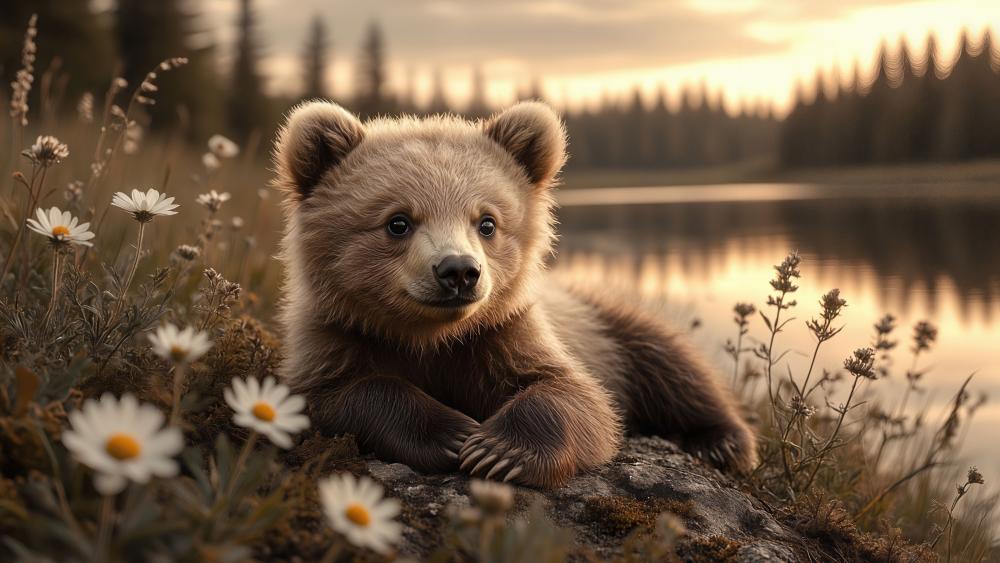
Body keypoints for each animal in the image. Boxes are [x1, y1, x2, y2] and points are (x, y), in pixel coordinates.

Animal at [272, 100, 757, 488]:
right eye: (398, 221)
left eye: (487, 221)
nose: (459, 271)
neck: (430, 338)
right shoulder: (338, 338)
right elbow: (344, 394)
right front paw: (453, 434)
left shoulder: (502, 334)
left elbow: (575, 395)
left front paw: (498, 451)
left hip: (607, 321)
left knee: (672, 362)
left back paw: (720, 442)